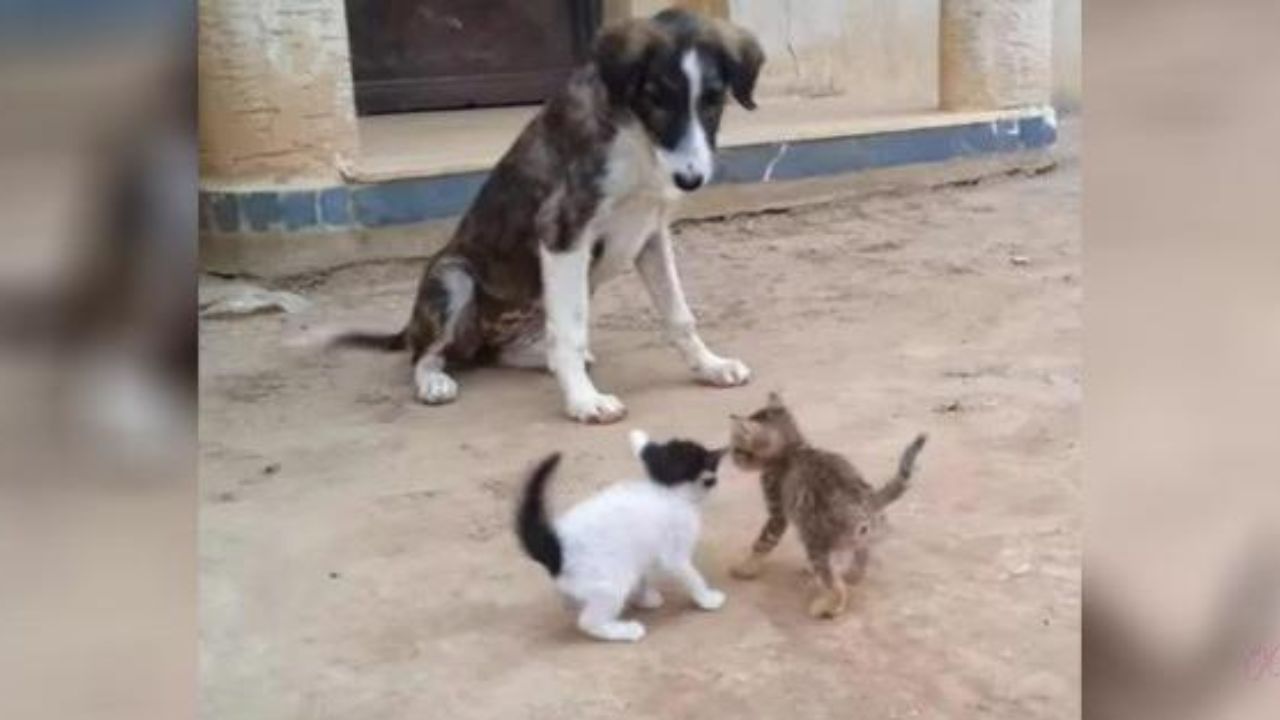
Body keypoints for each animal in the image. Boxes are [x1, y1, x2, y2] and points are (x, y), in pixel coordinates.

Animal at [335, 8, 762, 422]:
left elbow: (679, 315)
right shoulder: (563, 229)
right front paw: (584, 402)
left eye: (712, 101)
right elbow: (571, 332)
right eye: (655, 99)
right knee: (425, 355)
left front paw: (711, 366)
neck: (637, 140)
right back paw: (434, 381)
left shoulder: (650, 234)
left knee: (503, 351)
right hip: (453, 278)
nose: (690, 179)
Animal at [514, 427, 727, 640]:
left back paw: (572, 603)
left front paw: (644, 598)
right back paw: (624, 630)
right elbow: (692, 575)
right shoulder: (675, 554)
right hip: (610, 584)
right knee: (588, 622)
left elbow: (641, 574)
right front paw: (706, 598)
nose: (714, 481)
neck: (666, 489)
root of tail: (553, 546)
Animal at [727, 392, 926, 617]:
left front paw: (746, 568)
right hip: (856, 540)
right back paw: (852, 575)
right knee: (860, 560)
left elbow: (763, 542)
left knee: (833, 580)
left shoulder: (777, 512)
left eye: (737, 449)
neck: (793, 449)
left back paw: (829, 604)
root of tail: (870, 501)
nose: (732, 458)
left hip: (815, 540)